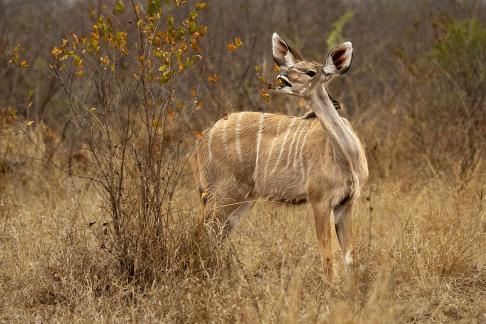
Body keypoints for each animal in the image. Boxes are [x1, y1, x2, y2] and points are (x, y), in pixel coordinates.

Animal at [193, 34, 368, 284]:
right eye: (290, 67)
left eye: (311, 72)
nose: (282, 77)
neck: (346, 157)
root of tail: (203, 138)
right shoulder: (319, 200)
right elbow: (327, 254)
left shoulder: (347, 202)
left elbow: (348, 256)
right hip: (222, 194)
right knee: (204, 231)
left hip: (243, 199)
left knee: (217, 234)